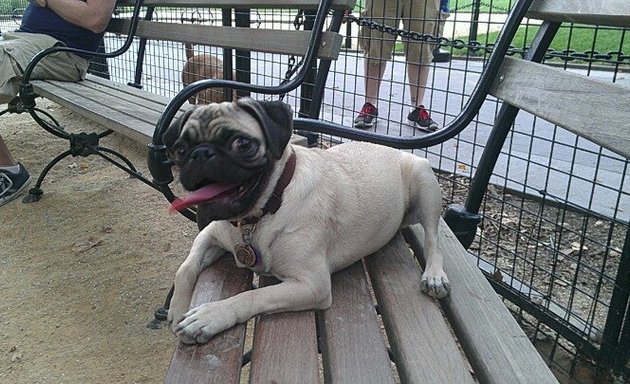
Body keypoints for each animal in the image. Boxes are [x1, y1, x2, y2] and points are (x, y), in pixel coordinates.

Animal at [163, 97, 450, 344]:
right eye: (180, 149)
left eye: (242, 144)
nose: (201, 154)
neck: (259, 214)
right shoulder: (209, 235)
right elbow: (185, 268)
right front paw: (177, 309)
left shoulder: (312, 285)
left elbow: (253, 295)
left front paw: (210, 315)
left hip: (424, 180)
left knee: (433, 238)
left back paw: (434, 276)